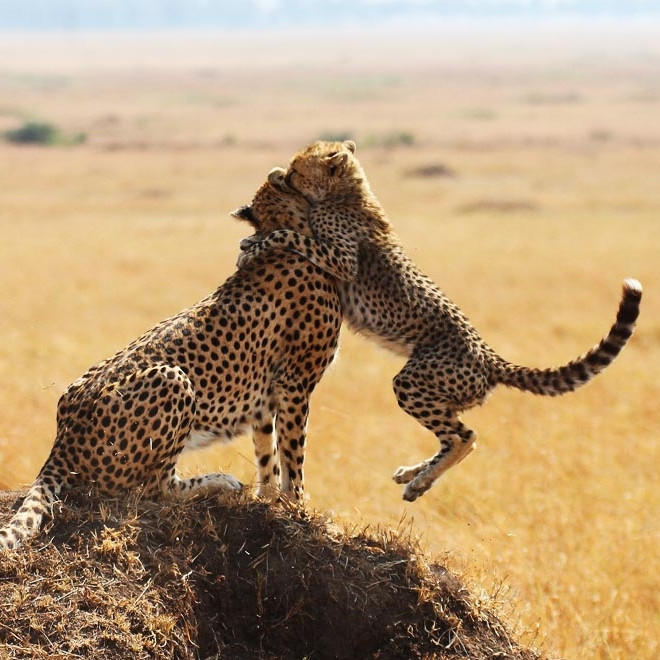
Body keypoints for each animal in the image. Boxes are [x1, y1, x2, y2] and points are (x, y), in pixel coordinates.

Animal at [0, 179, 340, 548]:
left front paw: (269, 500)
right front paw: (300, 508)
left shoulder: (267, 395)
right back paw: (219, 483)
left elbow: (268, 453)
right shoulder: (295, 382)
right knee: (154, 488)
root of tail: (64, 433)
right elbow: (293, 452)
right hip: (173, 378)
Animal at [238, 139, 644, 500]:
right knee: (456, 436)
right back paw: (414, 477)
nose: (284, 173)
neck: (348, 192)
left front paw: (253, 245)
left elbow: (290, 236)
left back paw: (419, 480)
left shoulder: (340, 258)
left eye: (296, 170)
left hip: (415, 381)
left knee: (465, 437)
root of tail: (489, 357)